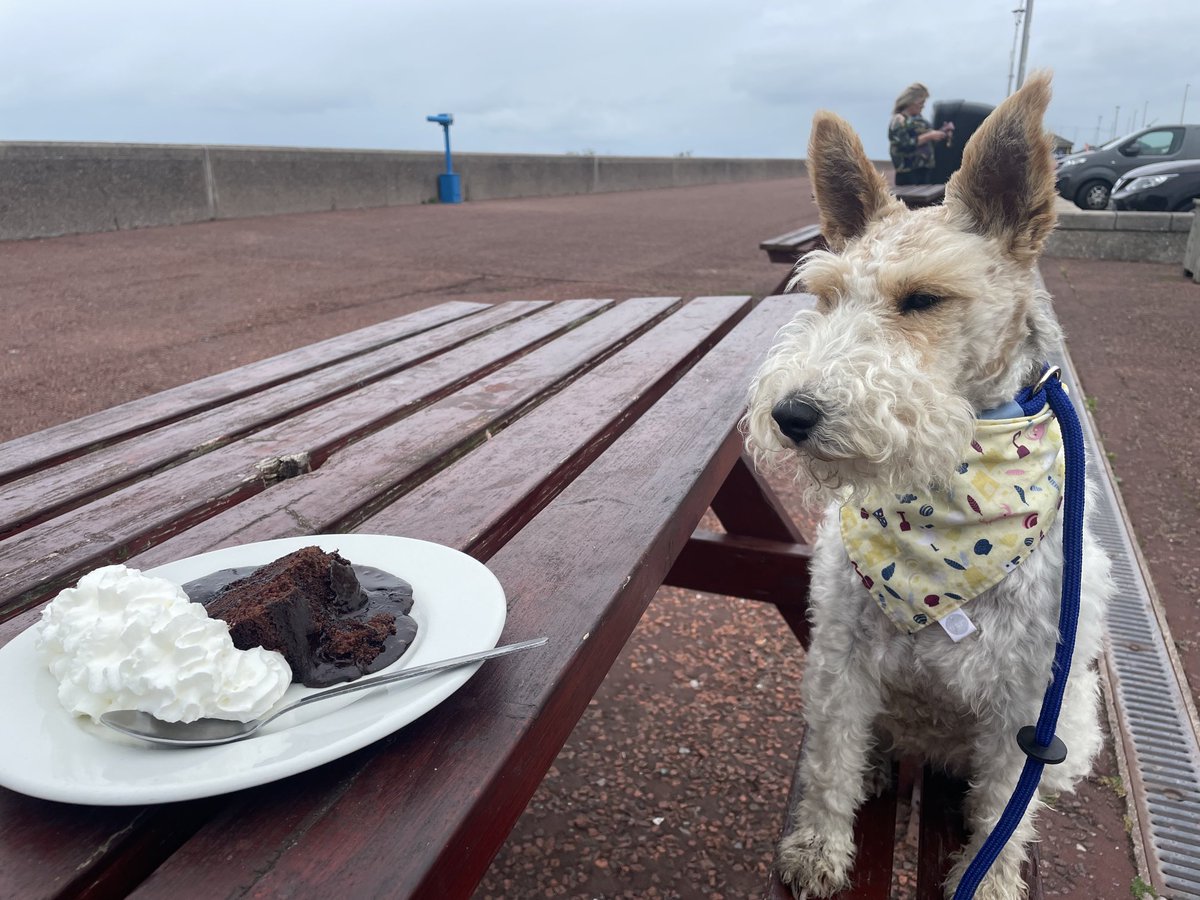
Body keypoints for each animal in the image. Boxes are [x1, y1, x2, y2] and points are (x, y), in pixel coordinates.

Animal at [739, 72, 1113, 900]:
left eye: (923, 299)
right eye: (825, 295)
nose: (791, 414)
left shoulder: (1025, 705)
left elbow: (1003, 811)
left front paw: (990, 879)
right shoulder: (842, 662)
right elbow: (829, 767)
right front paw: (817, 851)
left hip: (1070, 726)